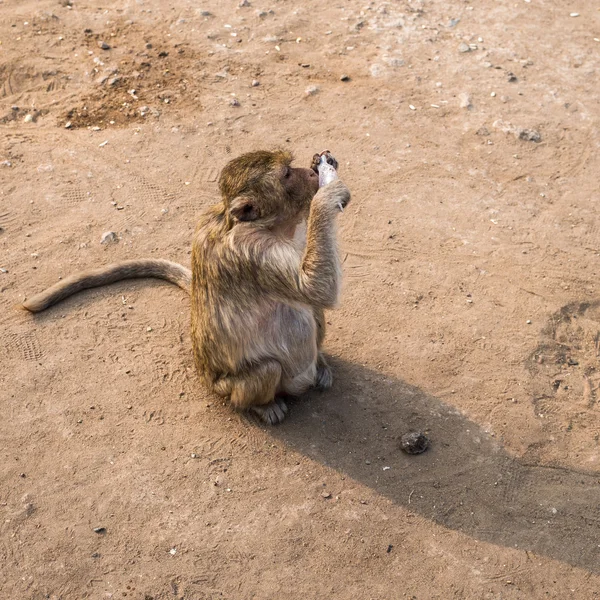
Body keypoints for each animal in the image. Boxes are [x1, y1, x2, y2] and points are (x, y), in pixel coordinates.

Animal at [22, 149, 352, 426]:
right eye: (286, 174)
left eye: (292, 167)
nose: (310, 172)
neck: (252, 224)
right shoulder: (252, 251)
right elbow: (314, 287)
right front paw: (329, 192)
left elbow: (311, 289)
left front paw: (325, 170)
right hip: (230, 387)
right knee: (266, 369)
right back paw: (263, 405)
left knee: (314, 314)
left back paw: (319, 363)